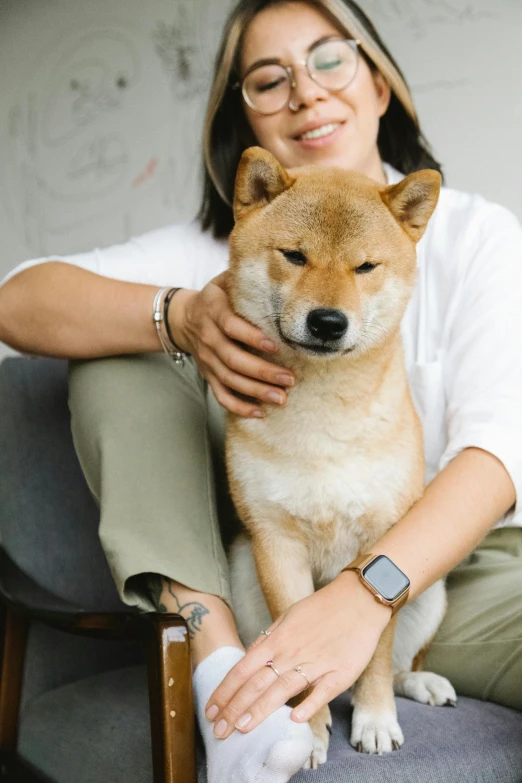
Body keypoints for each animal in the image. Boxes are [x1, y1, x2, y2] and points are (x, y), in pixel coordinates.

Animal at [225, 149, 452, 772]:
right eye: (295, 255)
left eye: (365, 267)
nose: (328, 321)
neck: (323, 413)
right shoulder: (276, 543)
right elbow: (299, 662)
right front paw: (312, 732)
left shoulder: (381, 544)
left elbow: (373, 655)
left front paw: (373, 721)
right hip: (243, 573)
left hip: (431, 594)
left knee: (399, 665)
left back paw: (419, 684)